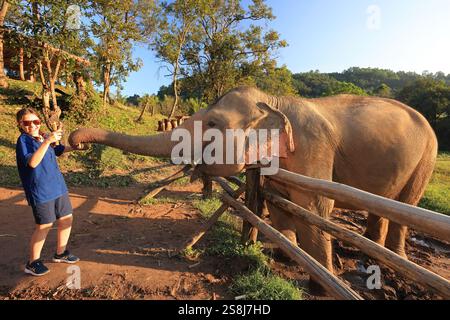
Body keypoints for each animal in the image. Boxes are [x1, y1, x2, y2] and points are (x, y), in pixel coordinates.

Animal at [68, 87, 438, 296]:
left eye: (213, 124)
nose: (73, 140)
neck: (274, 100)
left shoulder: (313, 149)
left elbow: (315, 207)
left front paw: (319, 286)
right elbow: (282, 205)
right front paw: (284, 255)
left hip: (428, 157)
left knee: (405, 207)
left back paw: (391, 263)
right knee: (383, 207)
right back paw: (370, 260)